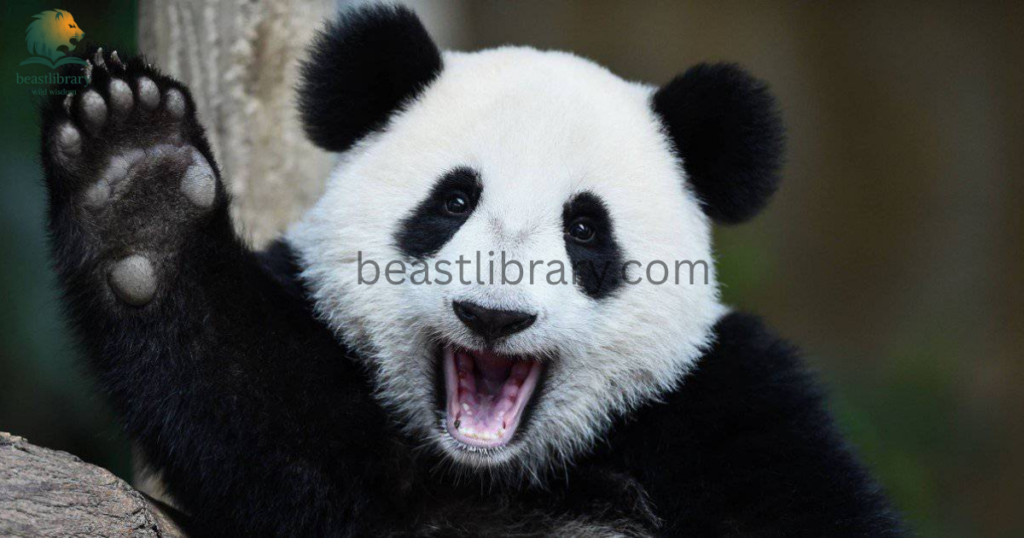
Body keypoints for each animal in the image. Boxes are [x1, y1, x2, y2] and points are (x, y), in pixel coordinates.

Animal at [39, 4, 905, 537]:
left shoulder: (729, 407)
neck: (500, 471)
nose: (494, 316)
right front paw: (139, 182)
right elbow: (264, 415)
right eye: (454, 200)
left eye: (584, 228)